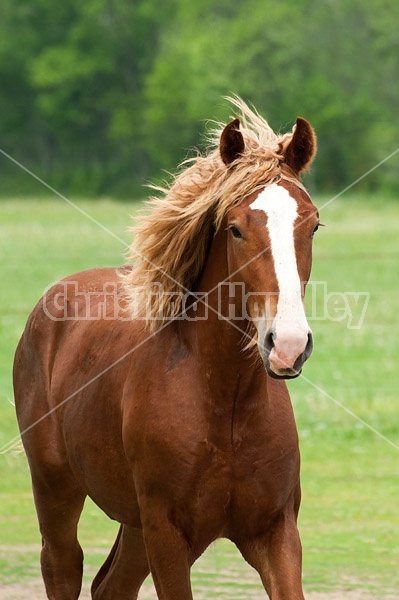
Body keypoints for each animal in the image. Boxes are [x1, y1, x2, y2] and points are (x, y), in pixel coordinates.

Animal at [14, 99, 318, 600]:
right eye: (235, 229)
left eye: (312, 225)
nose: (289, 344)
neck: (225, 402)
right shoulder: (168, 535)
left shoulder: (275, 532)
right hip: (56, 490)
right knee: (64, 567)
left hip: (134, 526)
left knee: (110, 585)